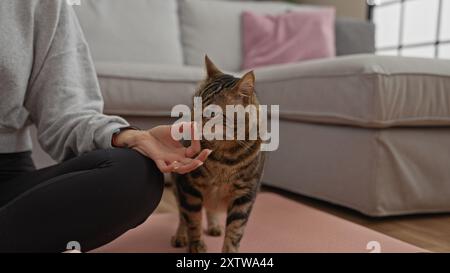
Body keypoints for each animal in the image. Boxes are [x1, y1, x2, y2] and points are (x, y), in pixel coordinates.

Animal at [171, 55, 266, 253]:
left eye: (212, 113)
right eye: (194, 102)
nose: (192, 122)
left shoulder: (245, 195)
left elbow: (235, 231)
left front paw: (229, 250)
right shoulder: (189, 188)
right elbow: (193, 220)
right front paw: (196, 245)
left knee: (210, 209)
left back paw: (214, 225)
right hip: (178, 186)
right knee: (183, 214)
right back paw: (180, 235)